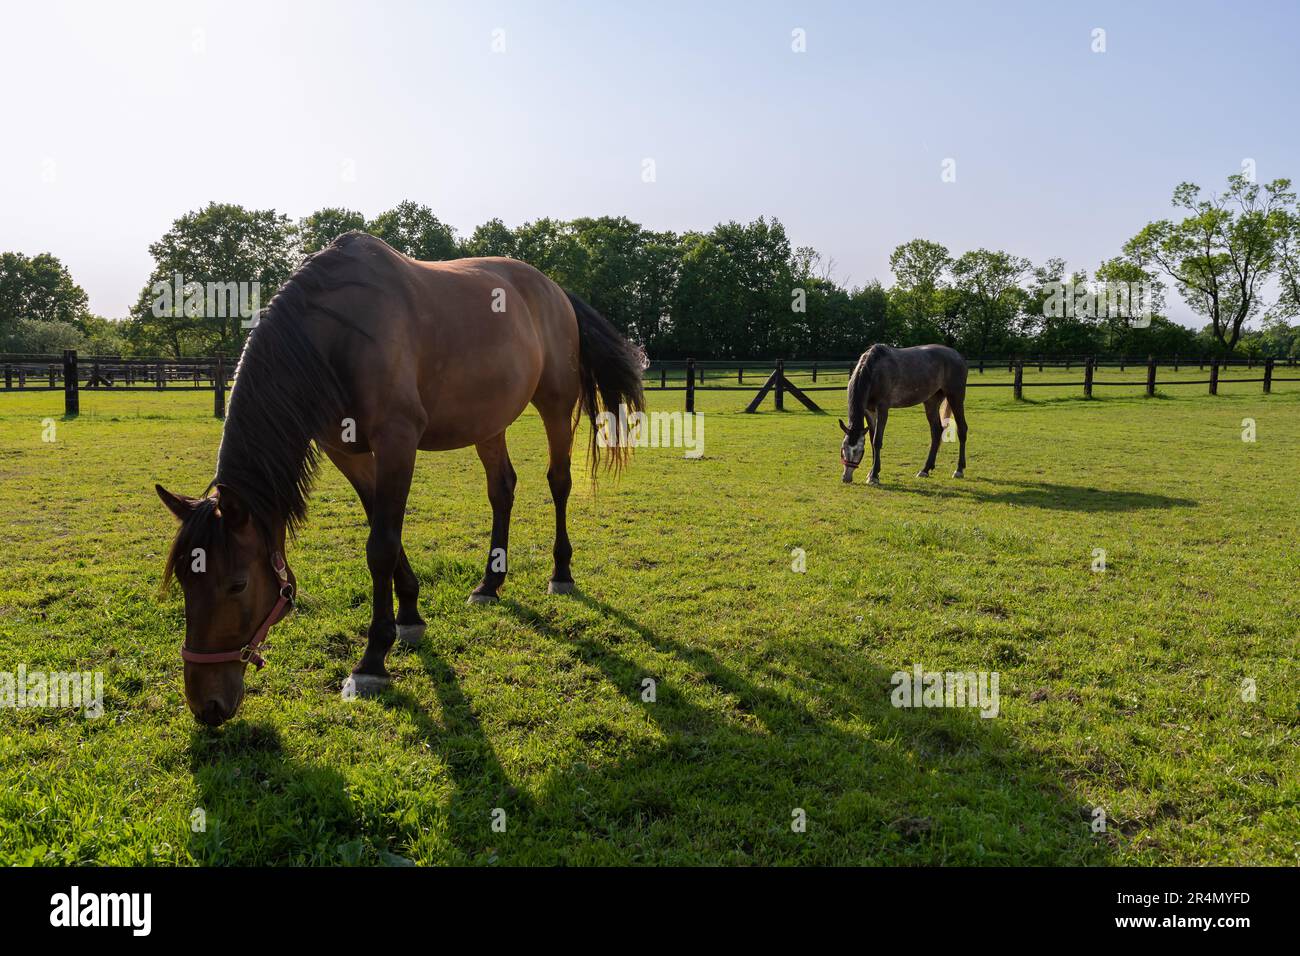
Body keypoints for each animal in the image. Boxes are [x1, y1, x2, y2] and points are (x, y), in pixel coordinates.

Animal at [155, 232, 645, 727]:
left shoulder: (398, 440)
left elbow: (381, 546)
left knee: (558, 482)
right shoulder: (345, 452)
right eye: (184, 582)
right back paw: (490, 583)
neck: (338, 333)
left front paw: (373, 659)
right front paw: (409, 611)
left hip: (556, 405)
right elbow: (383, 528)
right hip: (488, 423)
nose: (206, 705)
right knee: (502, 489)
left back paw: (561, 572)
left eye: (237, 584)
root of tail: (555, 290)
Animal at [838, 344, 968, 485]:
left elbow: (877, 441)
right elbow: (872, 440)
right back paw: (925, 469)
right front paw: (872, 473)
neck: (873, 372)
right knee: (936, 432)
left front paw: (873, 476)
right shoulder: (869, 411)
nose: (846, 478)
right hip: (931, 401)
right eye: (843, 448)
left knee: (962, 429)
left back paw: (959, 470)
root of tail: (957, 355)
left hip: (955, 396)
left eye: (859, 451)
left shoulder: (882, 408)